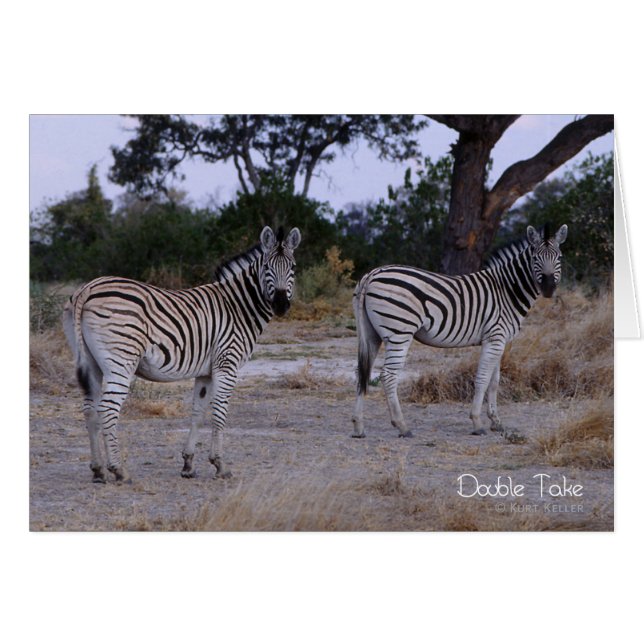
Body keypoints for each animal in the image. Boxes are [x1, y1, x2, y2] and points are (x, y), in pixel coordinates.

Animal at [63, 226, 301, 483]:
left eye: (293, 268)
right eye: (267, 267)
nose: (280, 305)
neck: (238, 307)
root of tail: (88, 288)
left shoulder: (206, 371)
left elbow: (198, 411)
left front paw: (188, 463)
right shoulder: (227, 363)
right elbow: (219, 412)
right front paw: (220, 465)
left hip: (91, 363)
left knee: (89, 410)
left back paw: (98, 469)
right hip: (121, 361)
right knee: (107, 409)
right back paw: (118, 470)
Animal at [351, 223, 568, 439]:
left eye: (559, 257)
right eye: (535, 257)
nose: (549, 288)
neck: (506, 290)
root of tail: (372, 275)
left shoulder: (500, 340)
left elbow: (494, 381)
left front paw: (496, 422)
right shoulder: (495, 337)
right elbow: (482, 379)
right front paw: (477, 422)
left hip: (371, 334)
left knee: (363, 372)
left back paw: (359, 426)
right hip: (399, 332)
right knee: (388, 375)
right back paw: (402, 426)